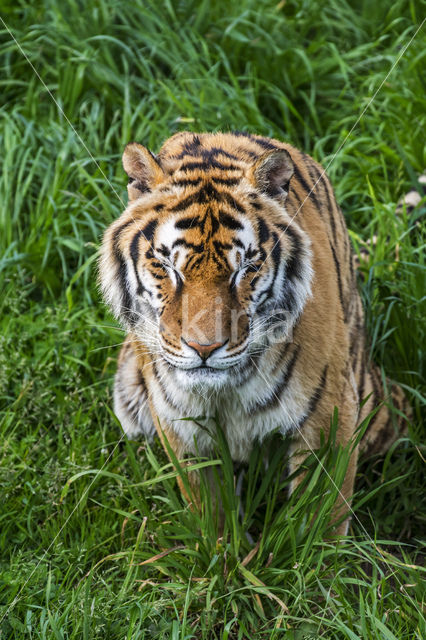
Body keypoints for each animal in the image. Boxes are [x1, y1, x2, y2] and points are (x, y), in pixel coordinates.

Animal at [98, 130, 412, 536]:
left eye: (246, 268)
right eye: (167, 266)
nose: (204, 348)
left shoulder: (329, 415)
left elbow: (321, 518)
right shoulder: (182, 424)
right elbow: (210, 510)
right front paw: (223, 548)